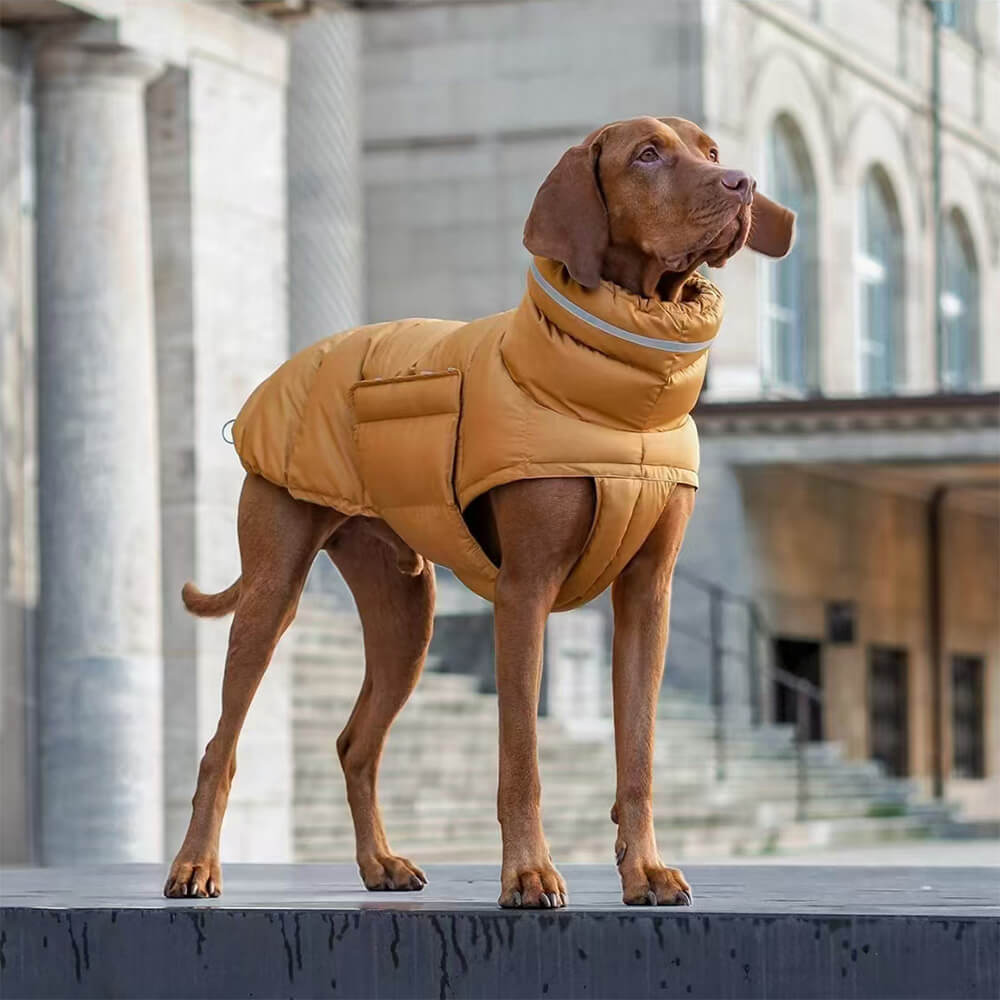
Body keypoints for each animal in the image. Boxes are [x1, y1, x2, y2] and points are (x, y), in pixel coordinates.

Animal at [164, 115, 792, 908]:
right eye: (647, 155)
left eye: (710, 150)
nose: (743, 183)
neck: (625, 397)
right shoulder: (525, 592)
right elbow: (521, 755)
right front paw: (528, 874)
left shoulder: (649, 596)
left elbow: (640, 754)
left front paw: (644, 870)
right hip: (273, 591)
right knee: (221, 744)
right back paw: (194, 866)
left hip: (406, 614)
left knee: (355, 743)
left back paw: (379, 864)